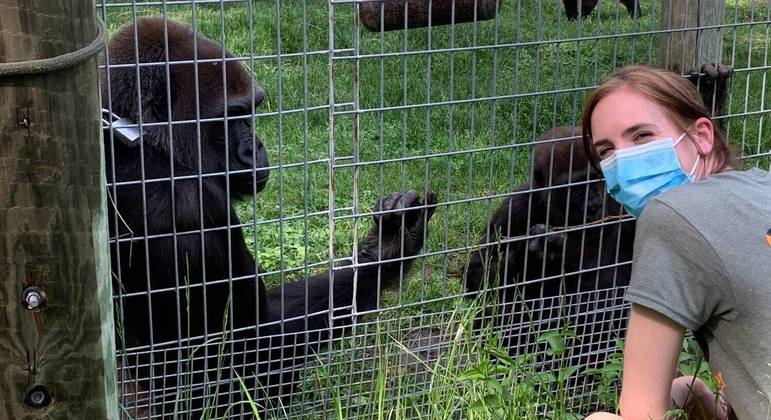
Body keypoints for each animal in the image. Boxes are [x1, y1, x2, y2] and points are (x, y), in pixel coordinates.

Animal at [102, 17, 438, 416]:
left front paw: (388, 246)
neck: (139, 142)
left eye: (251, 111)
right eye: (229, 117)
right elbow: (234, 365)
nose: (254, 149)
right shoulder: (189, 208)